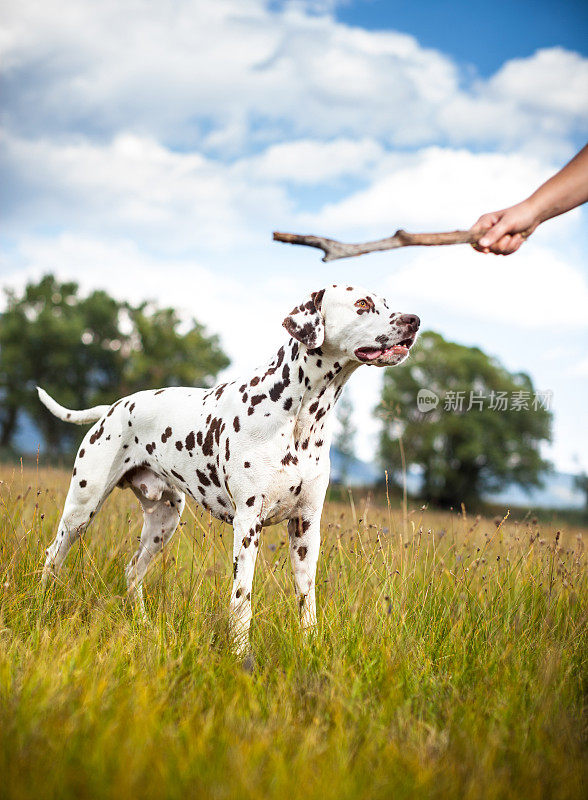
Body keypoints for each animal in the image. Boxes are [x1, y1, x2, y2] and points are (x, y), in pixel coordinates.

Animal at [39, 284, 420, 652]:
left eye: (387, 302)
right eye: (362, 303)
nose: (414, 320)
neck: (301, 419)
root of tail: (113, 407)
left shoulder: (306, 528)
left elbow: (307, 601)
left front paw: (311, 647)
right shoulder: (248, 524)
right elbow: (241, 601)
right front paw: (239, 653)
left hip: (163, 522)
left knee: (133, 571)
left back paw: (143, 626)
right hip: (81, 511)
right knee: (53, 555)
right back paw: (43, 605)